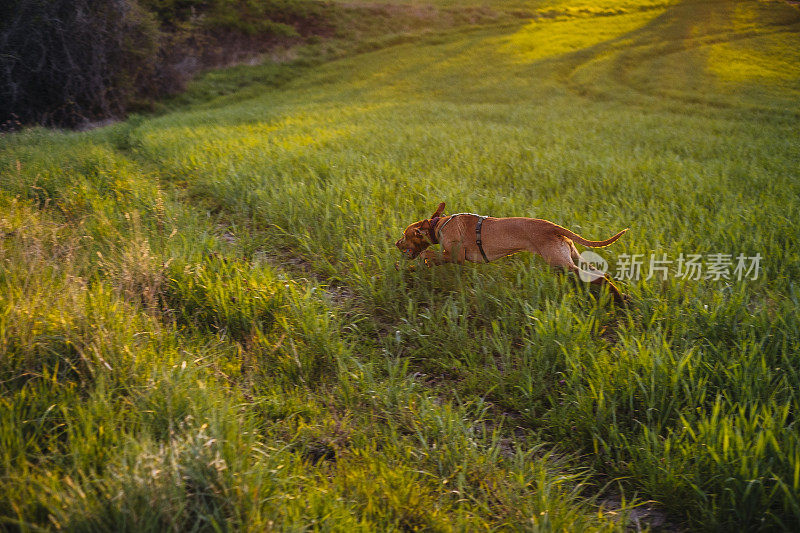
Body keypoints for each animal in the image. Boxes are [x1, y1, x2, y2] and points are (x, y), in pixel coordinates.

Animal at [396, 203, 628, 304]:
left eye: (405, 235)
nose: (396, 243)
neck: (438, 225)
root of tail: (553, 226)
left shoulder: (456, 256)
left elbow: (429, 255)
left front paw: (421, 263)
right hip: (573, 257)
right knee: (602, 274)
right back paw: (619, 295)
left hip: (562, 264)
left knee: (597, 278)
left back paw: (618, 299)